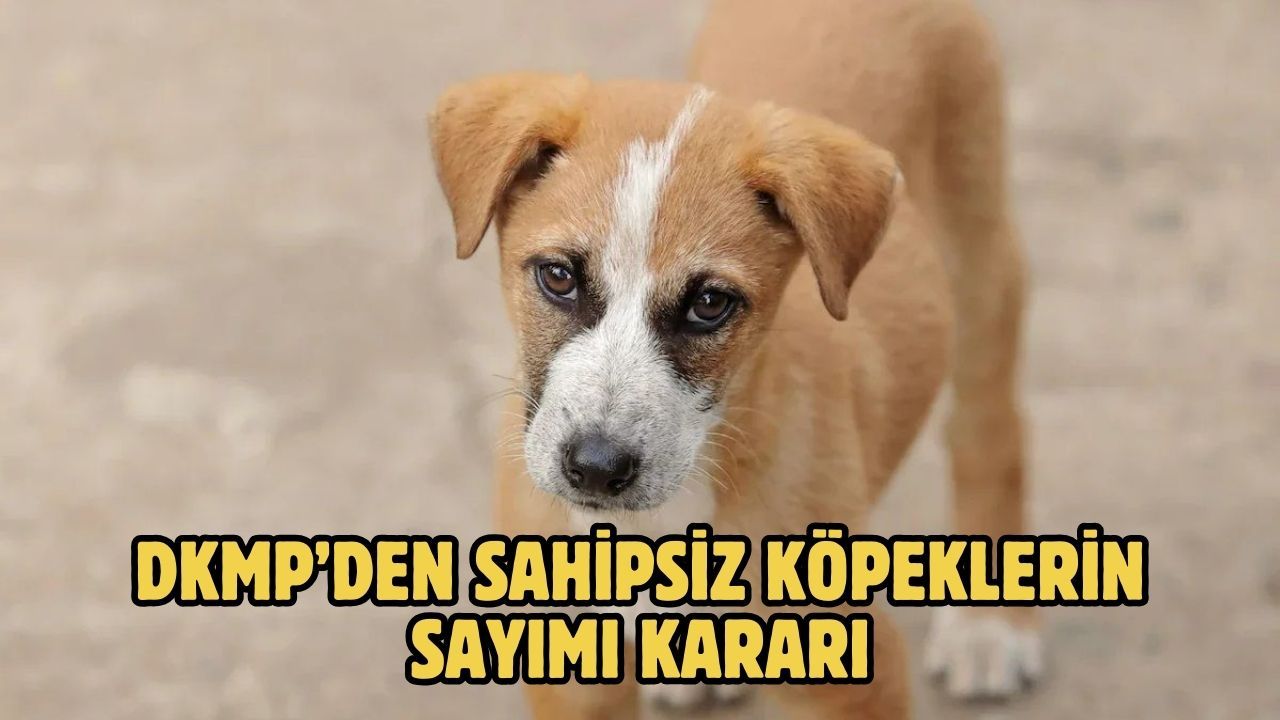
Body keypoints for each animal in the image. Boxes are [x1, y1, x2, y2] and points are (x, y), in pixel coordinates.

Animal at [429, 0, 1036, 716]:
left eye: (710, 304)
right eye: (557, 276)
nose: (597, 469)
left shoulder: (856, 675)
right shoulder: (573, 672)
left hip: (977, 252)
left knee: (989, 425)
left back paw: (988, 627)